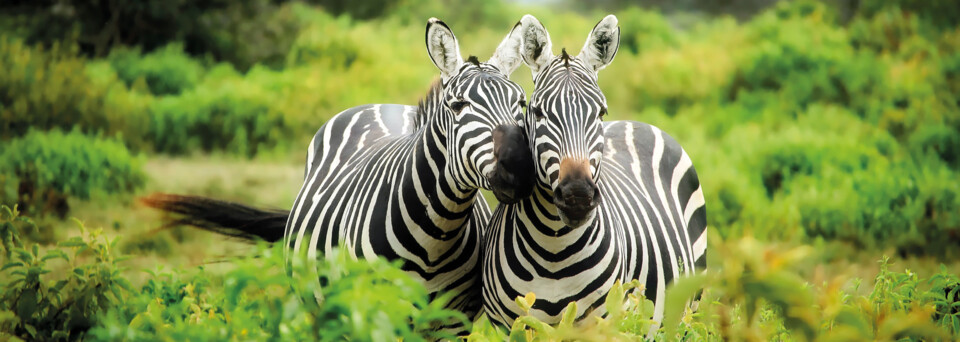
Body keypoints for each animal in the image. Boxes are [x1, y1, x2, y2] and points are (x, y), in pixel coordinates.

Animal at [143, 18, 536, 324]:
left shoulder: (451, 323)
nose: (519, 167)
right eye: (457, 106)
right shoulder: (372, 313)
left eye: (521, 103)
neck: (435, 237)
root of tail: (380, 104)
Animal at [484, 14, 708, 328]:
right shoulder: (511, 326)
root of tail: (635, 122)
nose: (577, 196)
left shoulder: (601, 322)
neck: (553, 250)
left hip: (689, 307)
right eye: (538, 112)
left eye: (601, 112)